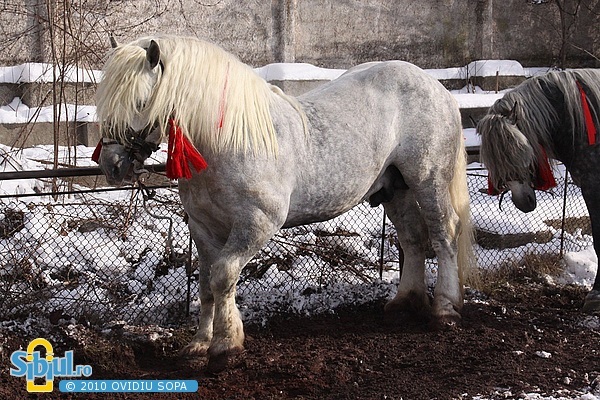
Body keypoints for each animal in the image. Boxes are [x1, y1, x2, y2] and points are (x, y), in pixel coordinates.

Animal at [96, 34, 476, 372]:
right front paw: (199, 345)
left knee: (444, 235)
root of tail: (436, 86)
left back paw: (445, 310)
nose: (112, 164)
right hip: (395, 189)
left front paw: (225, 346)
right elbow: (206, 286)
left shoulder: (257, 223)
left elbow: (223, 276)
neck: (226, 142)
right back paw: (403, 304)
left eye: (141, 102)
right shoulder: (203, 228)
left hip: (429, 181)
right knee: (413, 238)